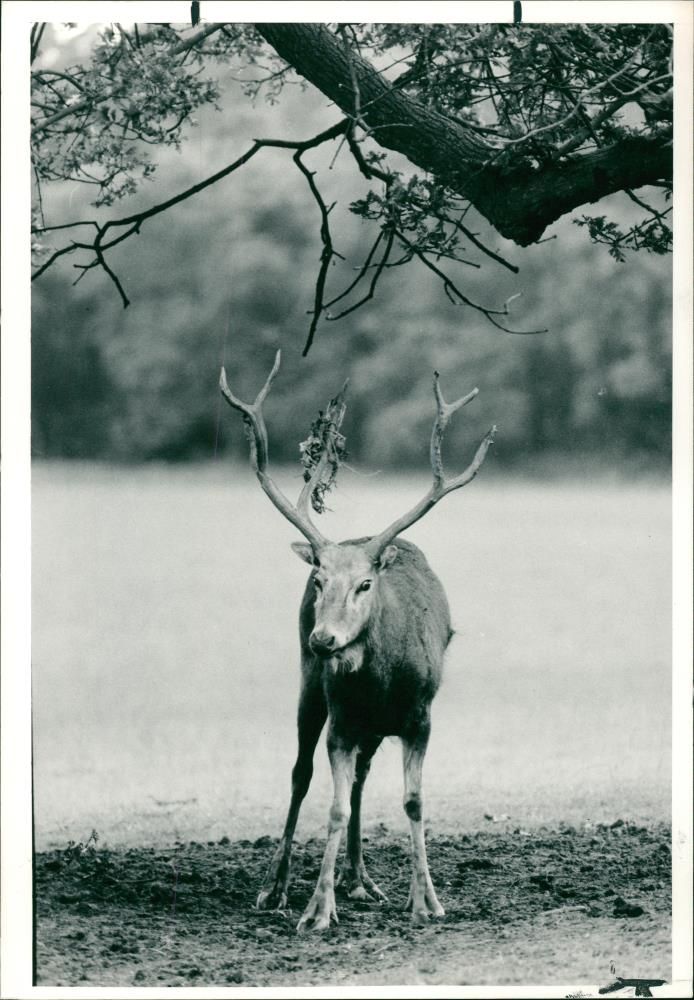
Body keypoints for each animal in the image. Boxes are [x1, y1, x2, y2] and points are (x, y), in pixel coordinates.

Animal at [220, 352, 498, 928]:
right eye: (319, 580)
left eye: (365, 584)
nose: (323, 638)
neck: (382, 682)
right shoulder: (342, 720)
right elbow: (333, 803)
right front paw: (316, 909)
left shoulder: (420, 716)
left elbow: (413, 801)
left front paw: (427, 901)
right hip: (311, 690)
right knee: (300, 774)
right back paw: (277, 886)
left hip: (372, 728)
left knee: (364, 778)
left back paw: (362, 879)